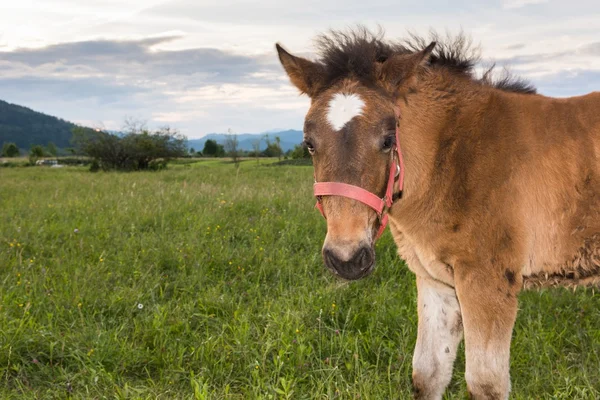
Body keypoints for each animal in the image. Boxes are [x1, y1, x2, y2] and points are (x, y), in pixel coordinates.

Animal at [276, 28, 600, 400]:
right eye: (309, 143)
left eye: (388, 140)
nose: (346, 258)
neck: (454, 158)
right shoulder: (436, 280)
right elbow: (427, 374)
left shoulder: (487, 281)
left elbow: (485, 384)